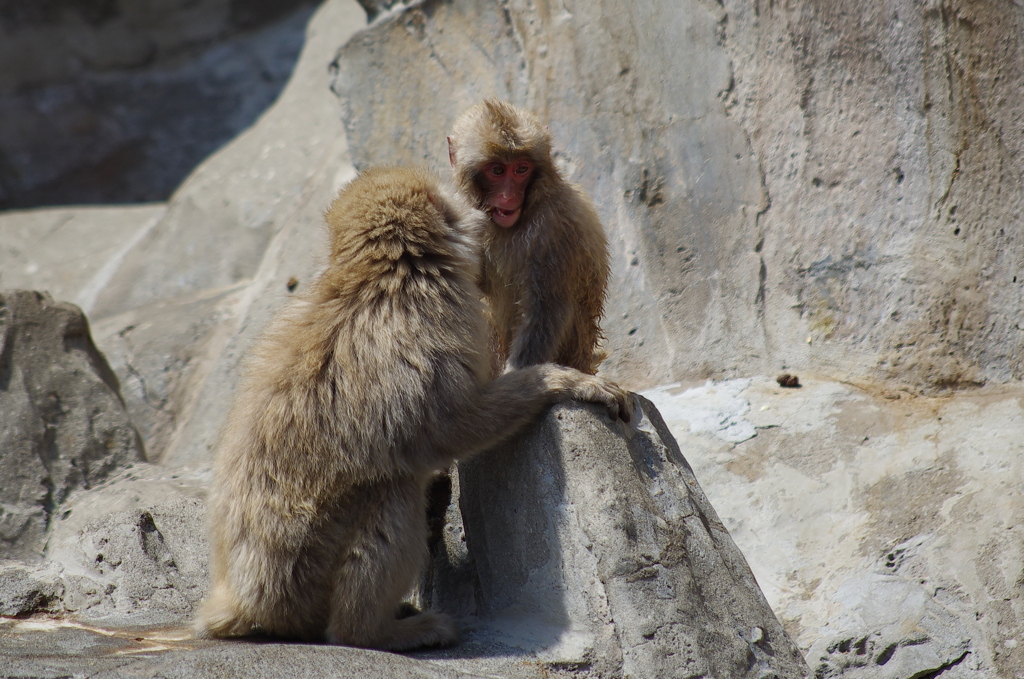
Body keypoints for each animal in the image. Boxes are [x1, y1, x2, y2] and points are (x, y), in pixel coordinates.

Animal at [188, 165, 626, 655]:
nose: (477, 212)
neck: (383, 268)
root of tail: (241, 602)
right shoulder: (431, 321)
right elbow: (446, 429)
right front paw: (558, 381)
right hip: (302, 577)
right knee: (392, 488)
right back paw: (372, 631)